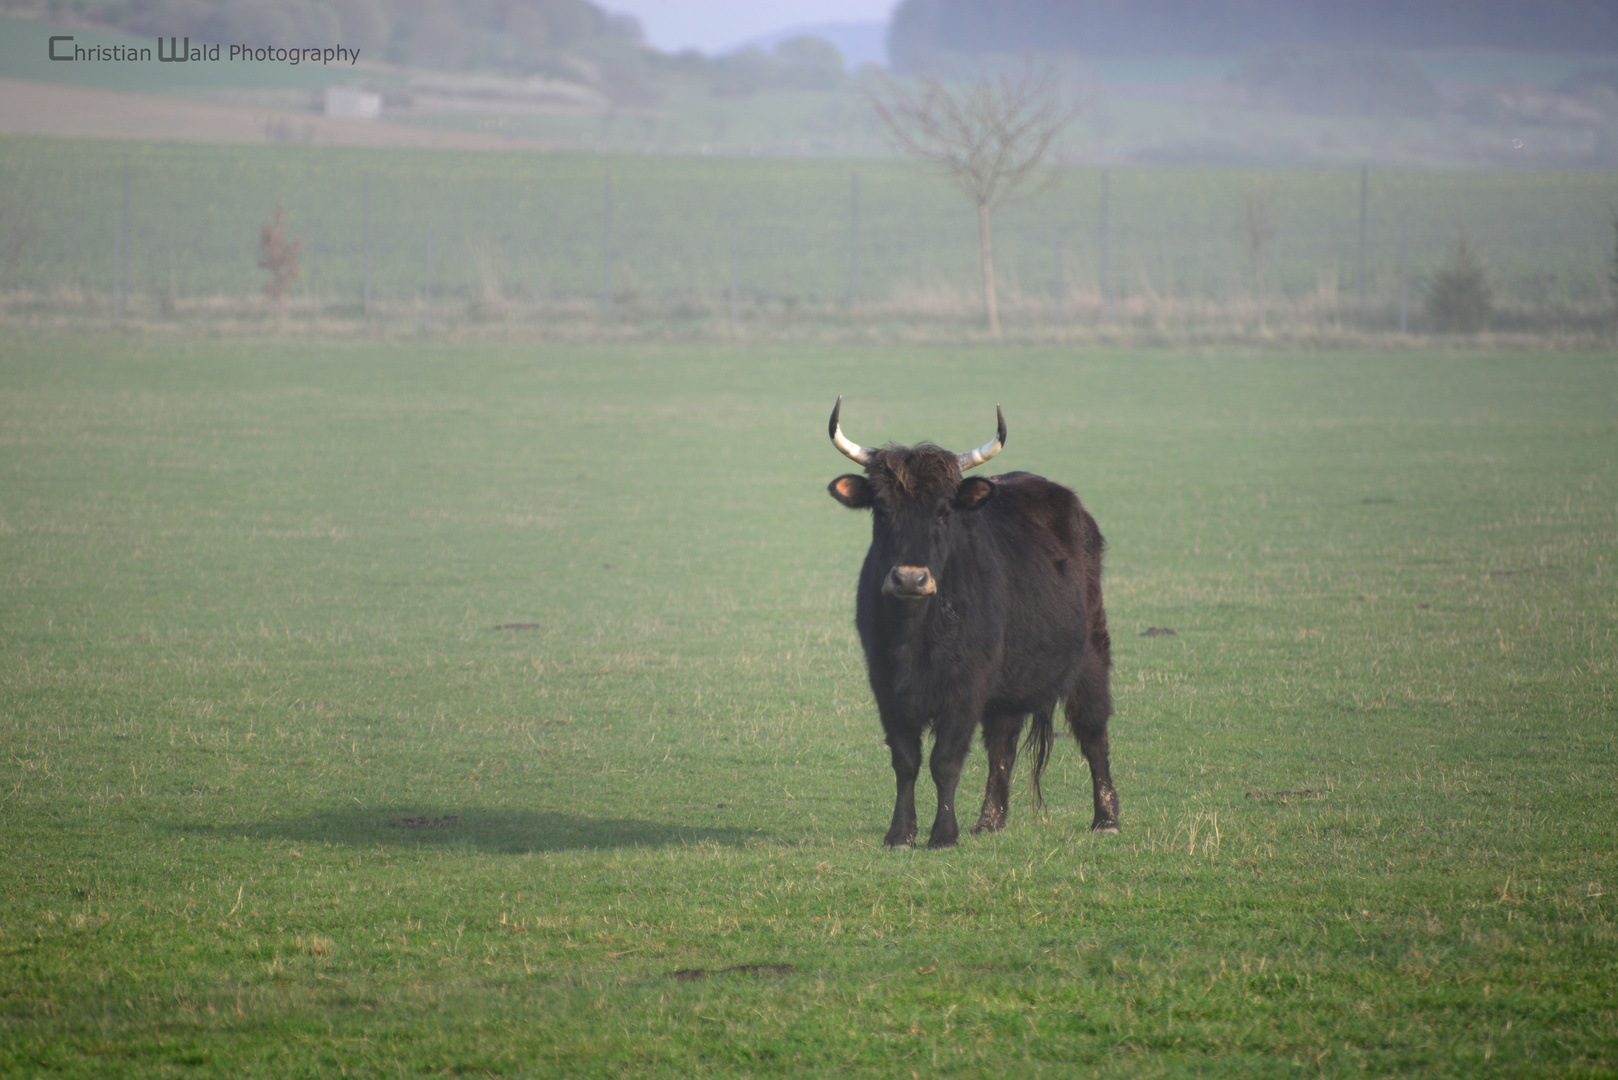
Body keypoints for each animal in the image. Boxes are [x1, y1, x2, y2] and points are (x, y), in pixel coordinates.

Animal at [828, 401, 1119, 848]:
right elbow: (906, 760)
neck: (916, 633)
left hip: (1091, 653)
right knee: (1003, 744)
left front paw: (944, 834)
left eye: (943, 511)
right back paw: (989, 820)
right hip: (1008, 686)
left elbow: (945, 760)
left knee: (1093, 732)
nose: (910, 578)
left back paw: (1106, 818)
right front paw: (900, 833)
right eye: (882, 509)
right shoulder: (886, 685)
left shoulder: (965, 686)